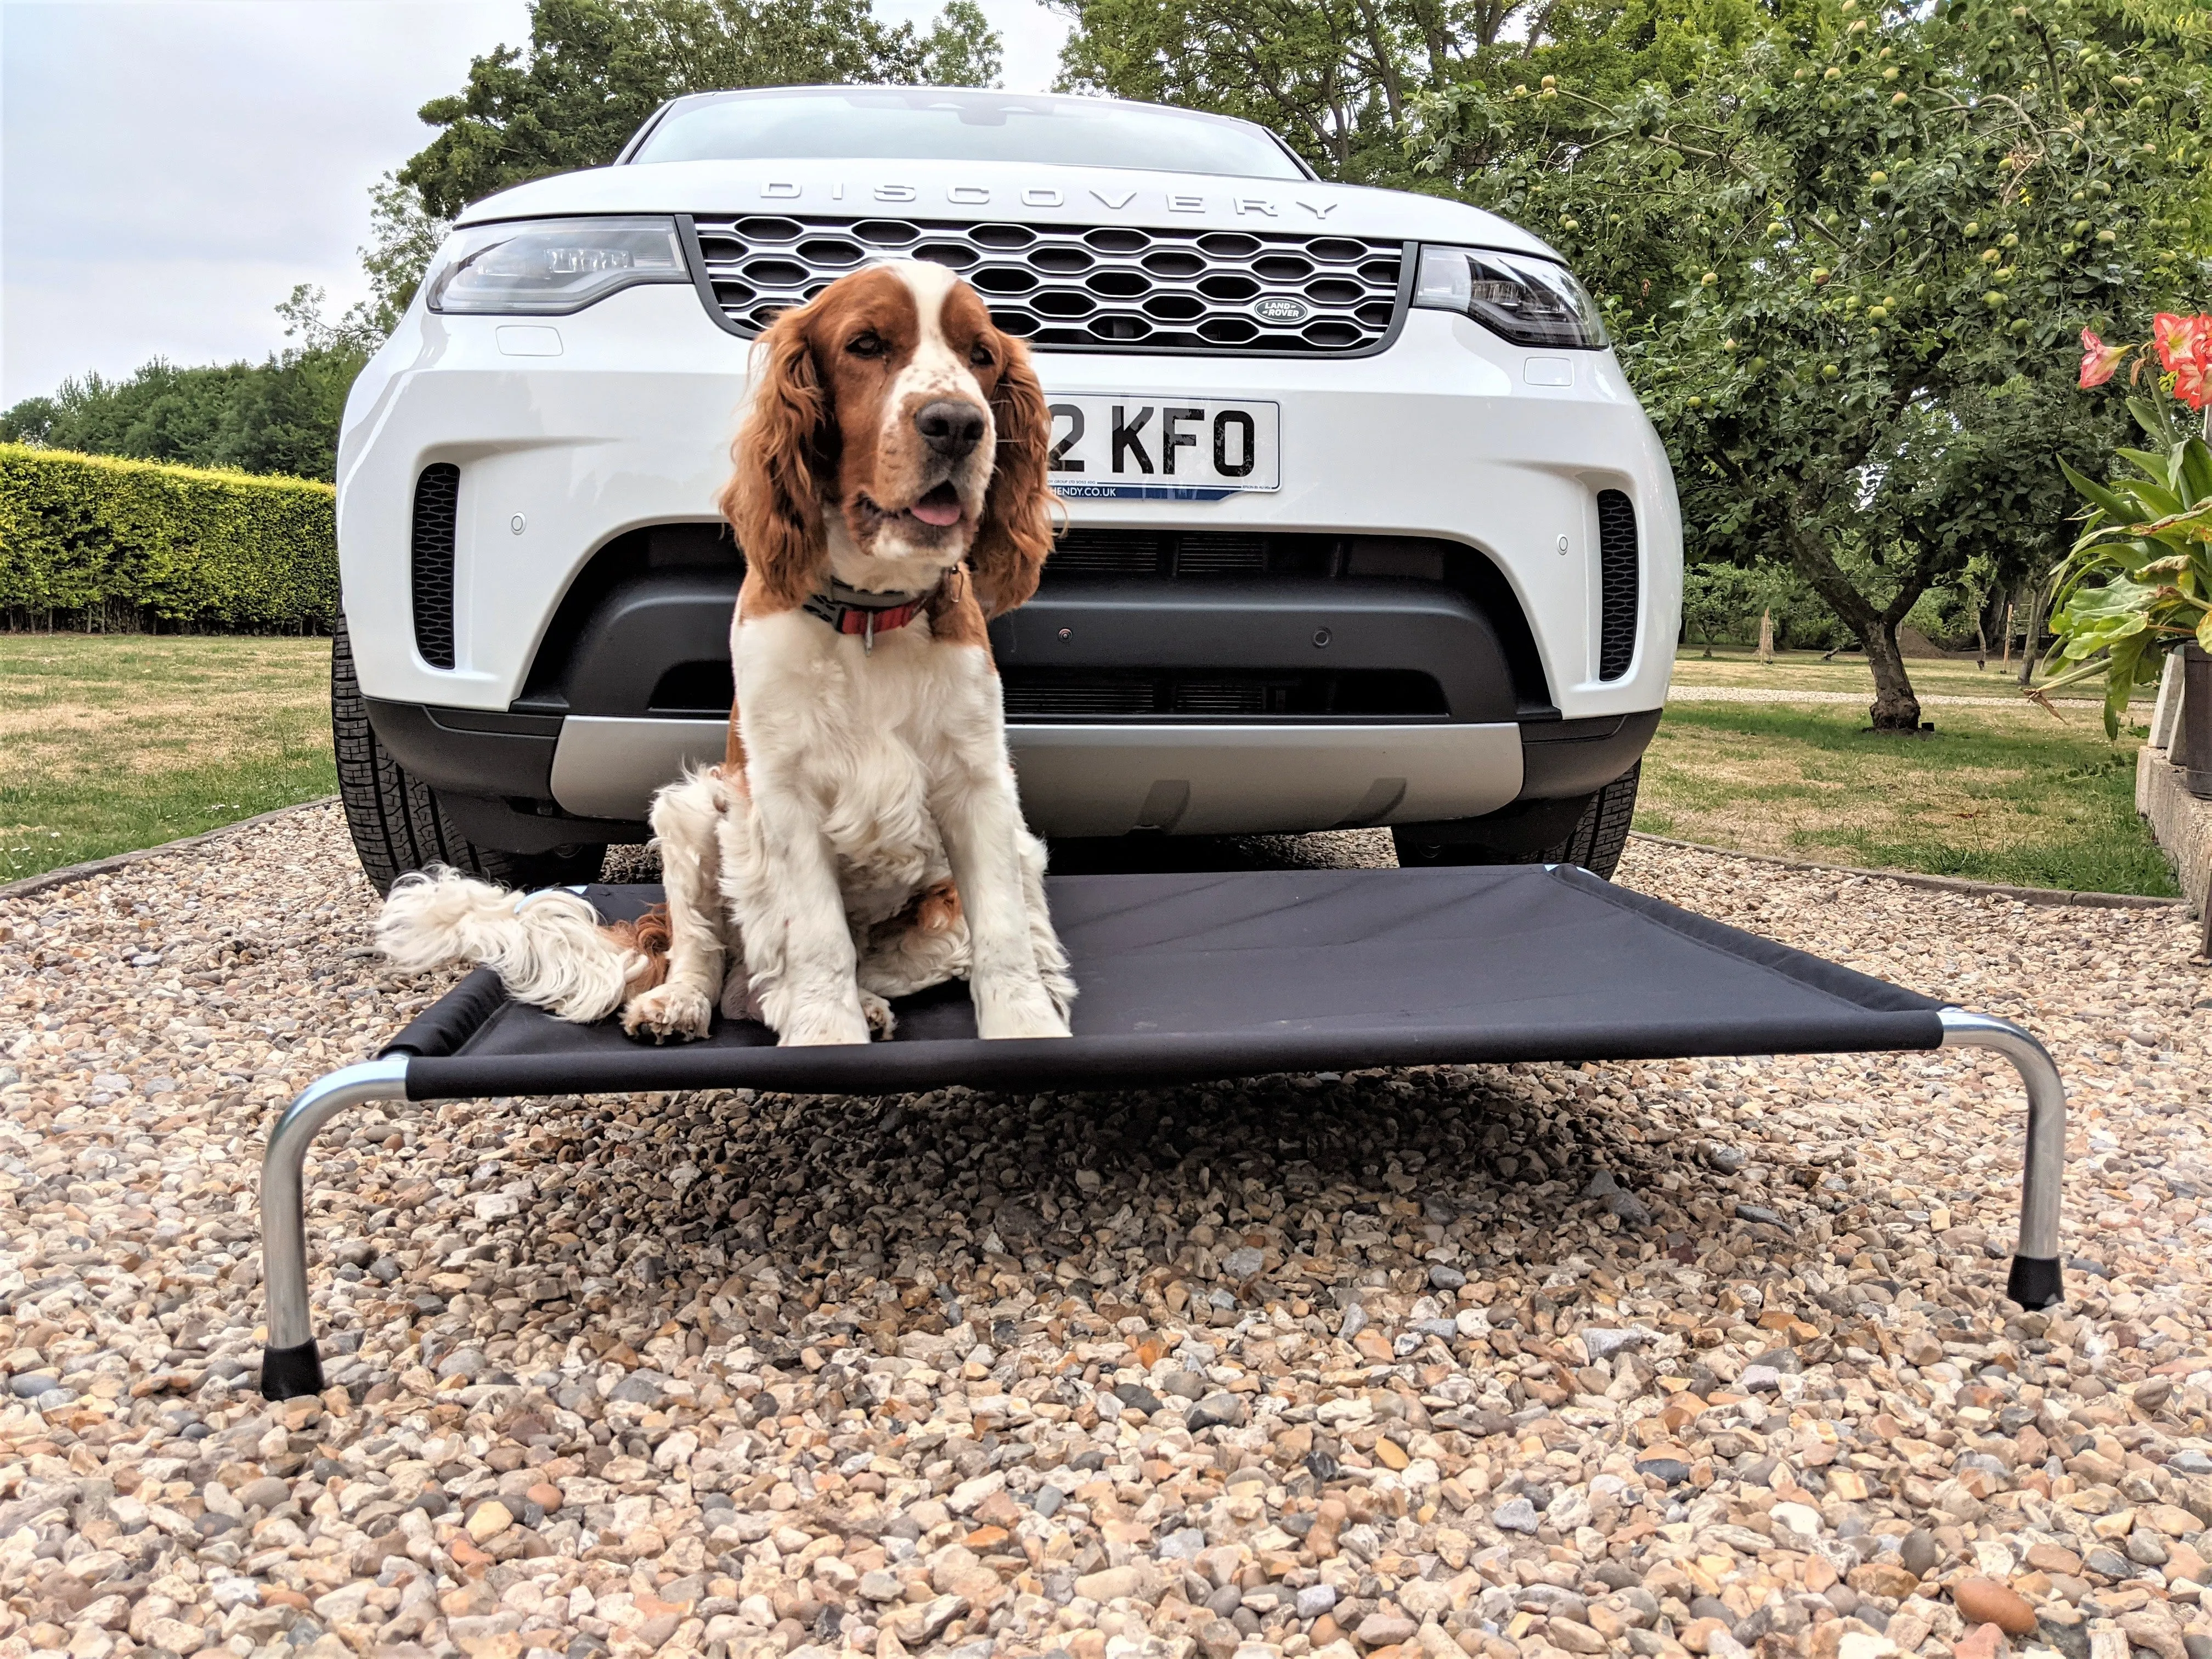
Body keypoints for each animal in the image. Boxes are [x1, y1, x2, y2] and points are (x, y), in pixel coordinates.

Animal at [382, 261, 1079, 1044]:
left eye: (981, 355)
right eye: (866, 345)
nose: (959, 424)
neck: (872, 616)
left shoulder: (978, 785)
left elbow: (1002, 932)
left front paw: (1026, 1030)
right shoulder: (784, 795)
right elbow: (817, 937)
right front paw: (828, 1037)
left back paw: (866, 1001)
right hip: (694, 811)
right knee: (717, 957)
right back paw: (683, 1003)